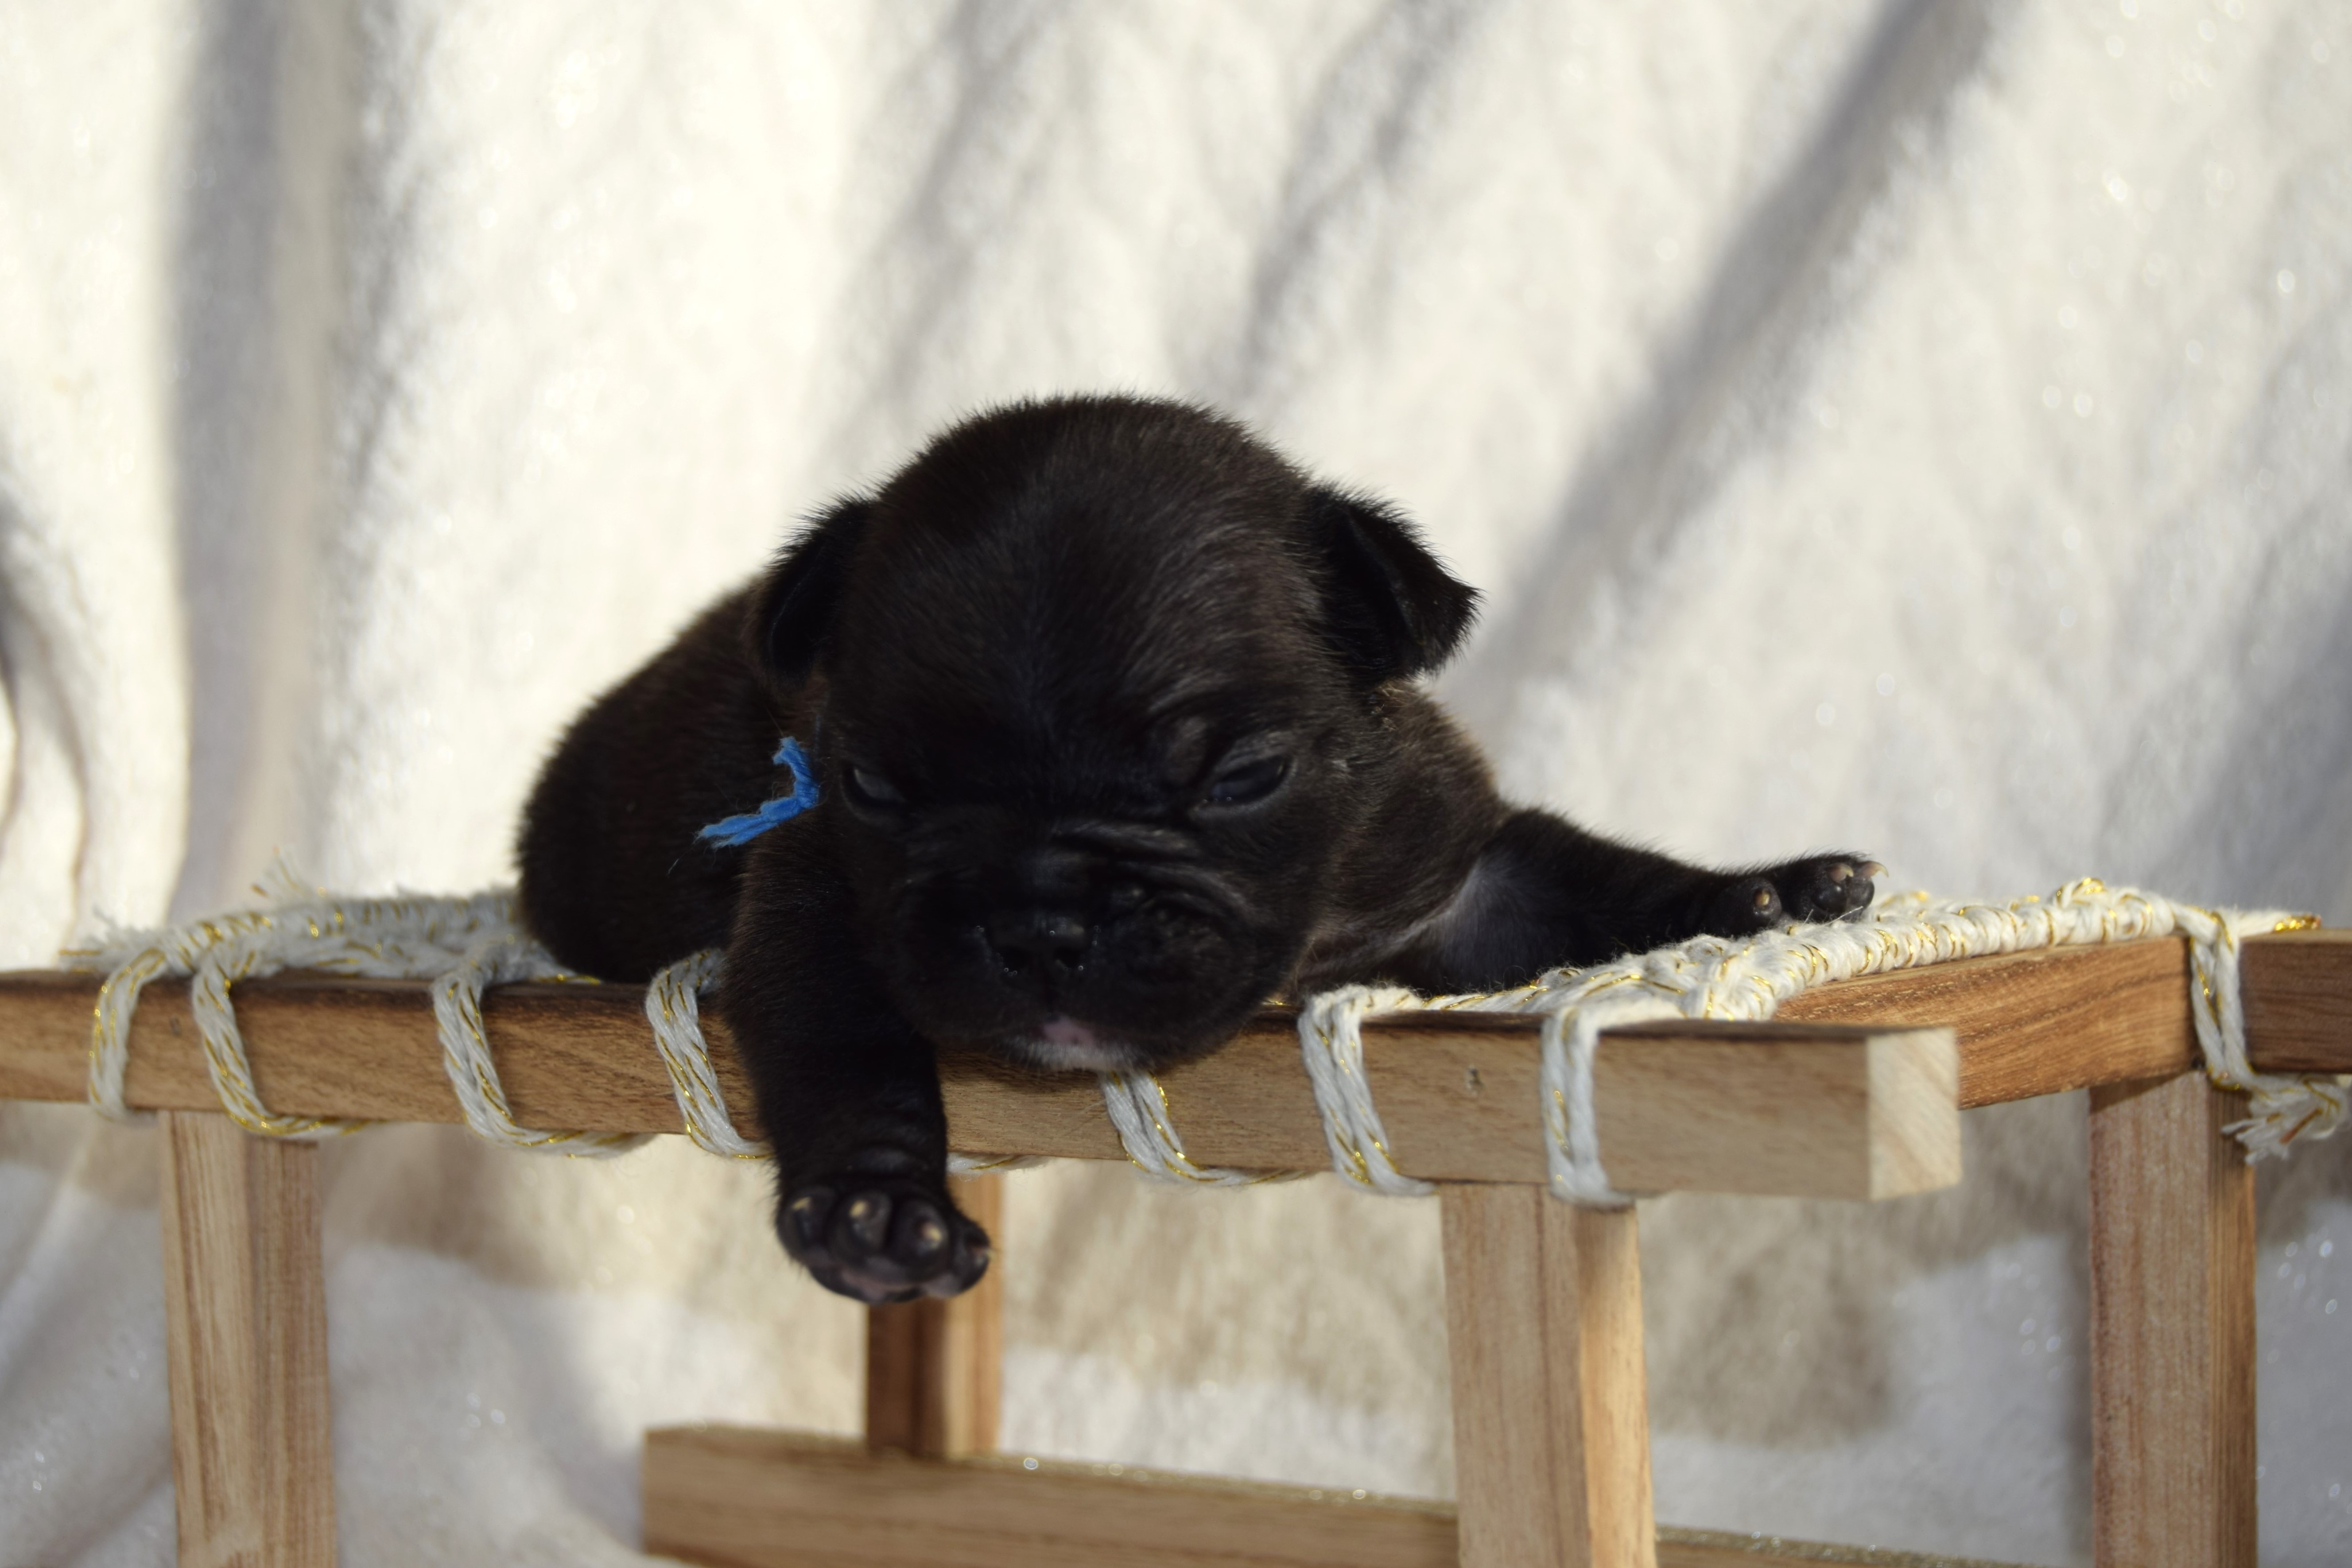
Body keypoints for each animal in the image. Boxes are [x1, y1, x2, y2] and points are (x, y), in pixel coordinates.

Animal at [515, 400, 1872, 1307]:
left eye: (1239, 778)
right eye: (872, 786)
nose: (1042, 921)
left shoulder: (1458, 868)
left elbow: (1594, 878)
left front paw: (1767, 893)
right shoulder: (819, 920)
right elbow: (852, 1066)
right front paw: (876, 1209)